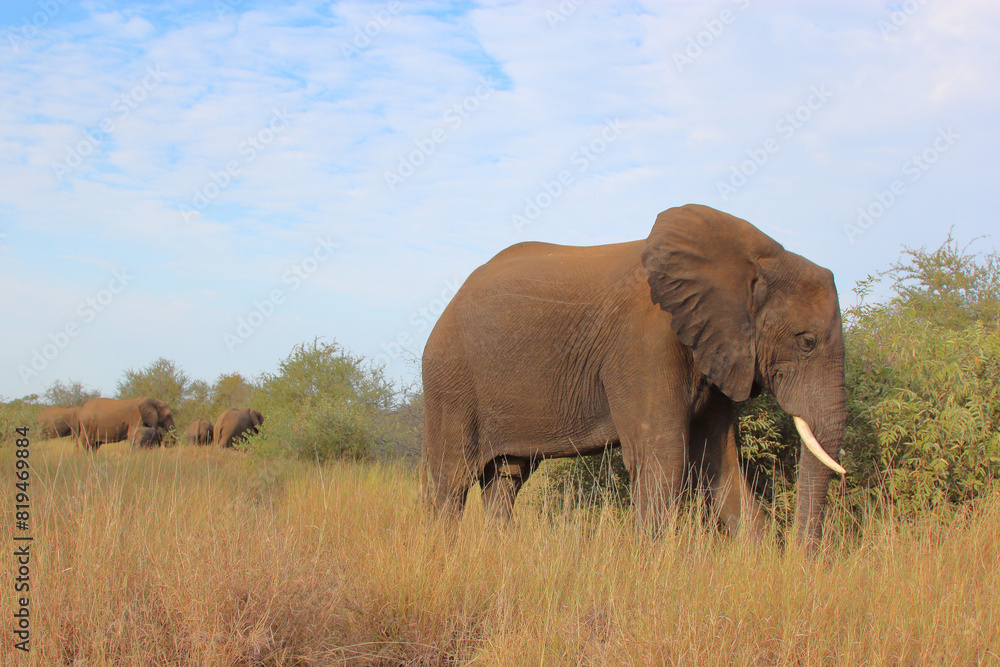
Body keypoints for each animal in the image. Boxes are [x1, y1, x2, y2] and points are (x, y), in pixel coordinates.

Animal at [422, 204, 846, 549]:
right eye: (806, 341)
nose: (798, 561)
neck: (749, 260)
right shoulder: (646, 343)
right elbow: (662, 457)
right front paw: (653, 567)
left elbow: (719, 462)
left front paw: (758, 562)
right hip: (451, 380)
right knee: (452, 480)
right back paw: (446, 556)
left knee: (505, 480)